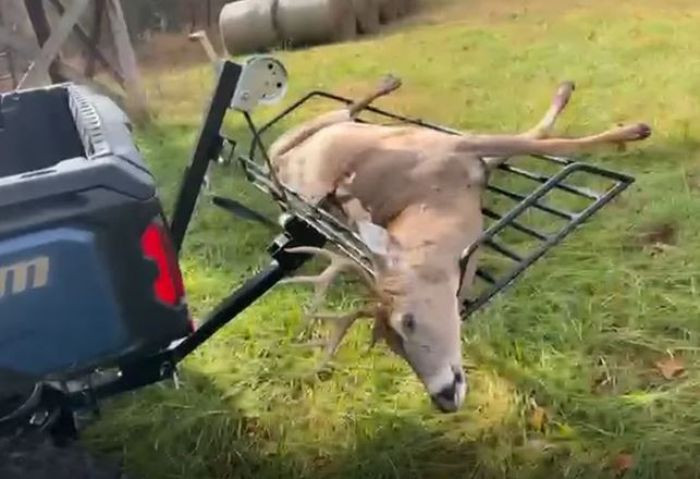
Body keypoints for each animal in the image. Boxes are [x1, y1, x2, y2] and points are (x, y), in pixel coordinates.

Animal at [267, 76, 651, 412]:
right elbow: (535, 136)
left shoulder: (453, 147)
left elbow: (541, 140)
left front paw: (632, 129)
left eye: (407, 321)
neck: (434, 203)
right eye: (390, 347)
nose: (443, 399)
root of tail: (277, 162)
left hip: (321, 128)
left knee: (345, 109)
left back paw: (389, 82)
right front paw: (628, 127)